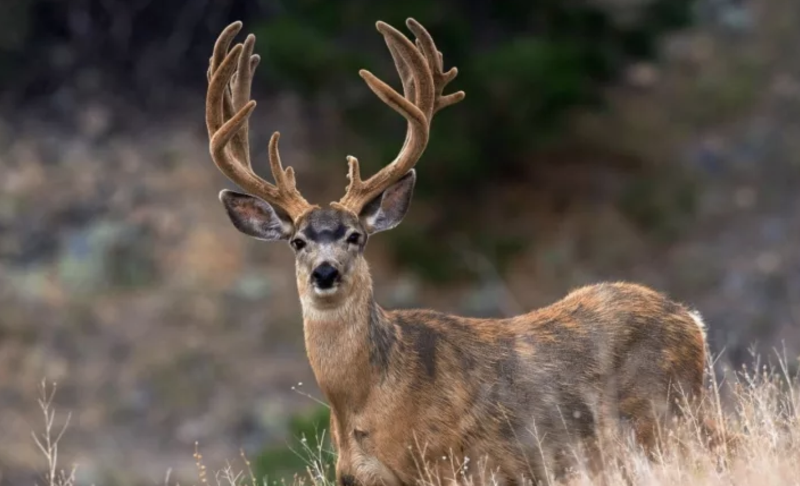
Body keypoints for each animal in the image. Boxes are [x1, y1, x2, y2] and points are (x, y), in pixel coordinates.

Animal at [206, 17, 720, 484]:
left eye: (356, 236)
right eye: (297, 241)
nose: (326, 273)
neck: (364, 403)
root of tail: (691, 320)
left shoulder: (452, 463)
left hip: (666, 416)